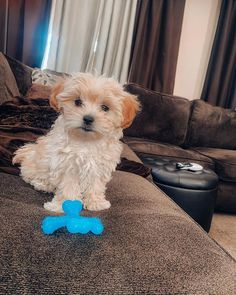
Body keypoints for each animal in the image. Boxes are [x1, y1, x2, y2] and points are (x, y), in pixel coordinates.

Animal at [12, 73, 140, 213]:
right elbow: (68, 186)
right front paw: (66, 205)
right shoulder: (67, 165)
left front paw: (95, 202)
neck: (86, 141)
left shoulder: (99, 167)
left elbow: (95, 185)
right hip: (35, 166)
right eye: (78, 102)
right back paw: (43, 185)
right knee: (29, 175)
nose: (88, 118)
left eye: (105, 107)